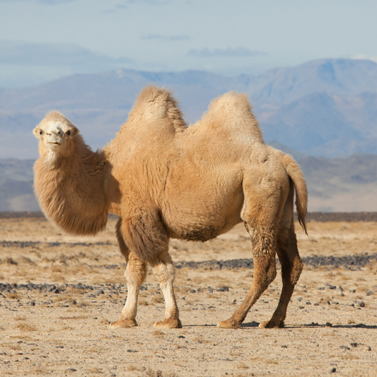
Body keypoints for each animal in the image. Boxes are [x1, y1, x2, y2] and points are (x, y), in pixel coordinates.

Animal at [33, 86, 306, 328]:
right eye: (41, 131)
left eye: (68, 131)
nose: (55, 136)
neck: (106, 176)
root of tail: (285, 161)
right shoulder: (130, 220)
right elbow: (134, 272)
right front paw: (125, 319)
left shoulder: (142, 216)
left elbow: (162, 270)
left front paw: (169, 320)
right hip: (281, 214)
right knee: (292, 265)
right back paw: (273, 321)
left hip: (260, 199)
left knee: (265, 267)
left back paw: (233, 320)